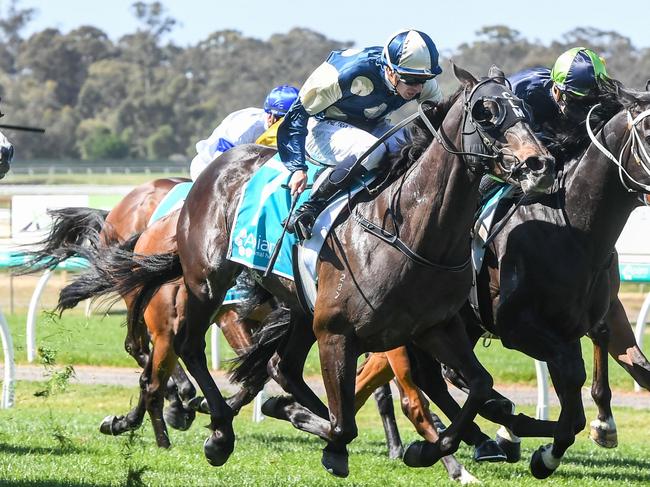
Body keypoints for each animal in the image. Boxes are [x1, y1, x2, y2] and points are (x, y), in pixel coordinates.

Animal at [102, 63, 552, 474]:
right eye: (485, 112)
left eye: (526, 111)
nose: (538, 163)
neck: (408, 229)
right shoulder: (336, 331)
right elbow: (345, 425)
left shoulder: (434, 326)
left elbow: (478, 385)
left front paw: (430, 449)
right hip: (207, 282)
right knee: (190, 345)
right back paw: (218, 433)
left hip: (300, 307)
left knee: (282, 369)